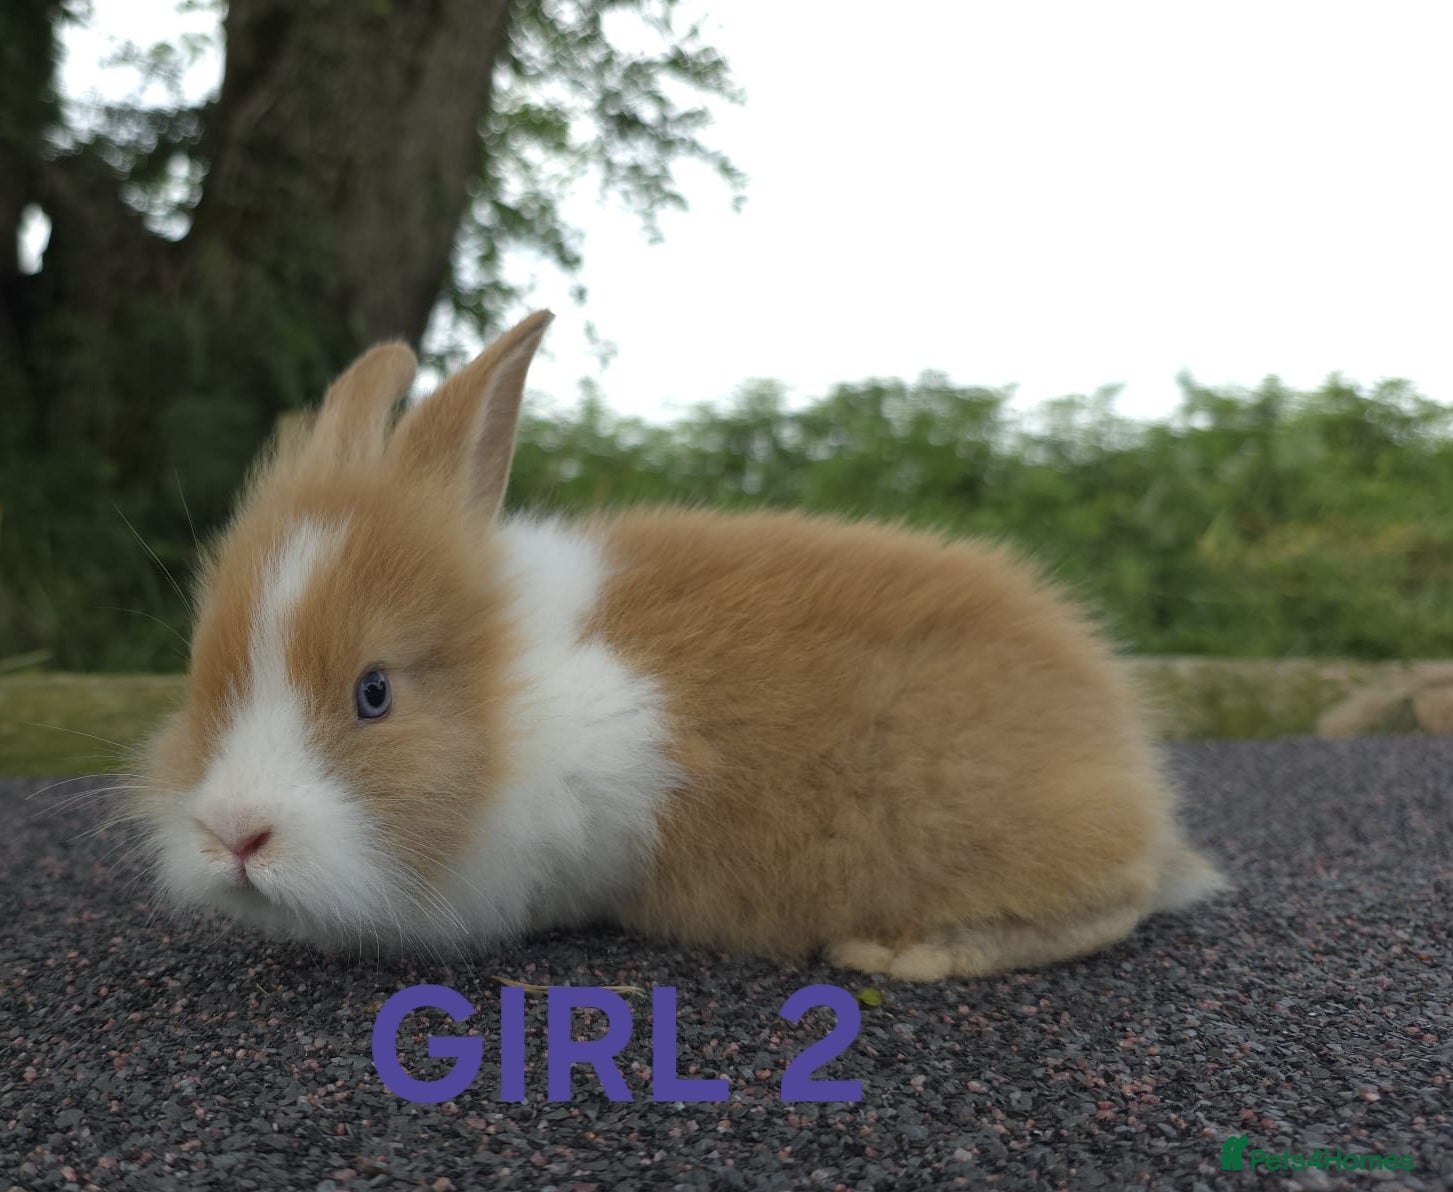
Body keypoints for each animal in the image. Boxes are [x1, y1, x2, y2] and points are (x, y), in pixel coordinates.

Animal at [133, 310, 1226, 981]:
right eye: (204, 676)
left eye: (374, 693)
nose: (233, 834)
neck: (507, 696)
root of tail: (1127, 763)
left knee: (1116, 899)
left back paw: (898, 953)